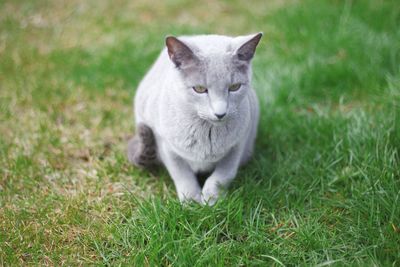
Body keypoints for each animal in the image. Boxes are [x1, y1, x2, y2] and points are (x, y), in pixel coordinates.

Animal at [126, 33, 260, 205]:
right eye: (200, 89)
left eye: (235, 87)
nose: (220, 113)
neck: (207, 132)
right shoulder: (166, 146)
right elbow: (182, 175)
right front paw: (192, 202)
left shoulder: (238, 144)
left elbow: (222, 175)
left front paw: (211, 200)